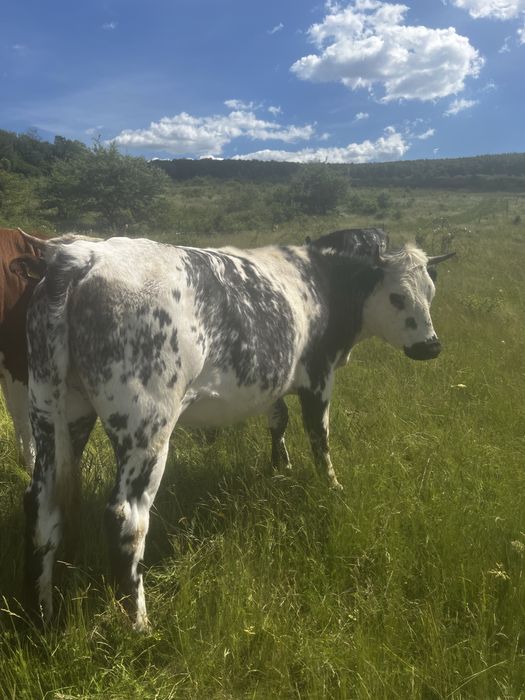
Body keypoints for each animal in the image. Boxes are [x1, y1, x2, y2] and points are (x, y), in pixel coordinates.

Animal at [21, 233, 454, 630]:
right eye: (397, 296)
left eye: (431, 291)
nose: (431, 346)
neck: (322, 278)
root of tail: (82, 257)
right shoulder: (318, 375)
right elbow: (320, 437)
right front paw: (332, 486)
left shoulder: (272, 381)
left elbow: (278, 420)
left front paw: (280, 465)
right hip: (146, 428)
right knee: (126, 519)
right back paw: (139, 625)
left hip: (55, 414)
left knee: (40, 505)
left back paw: (41, 613)